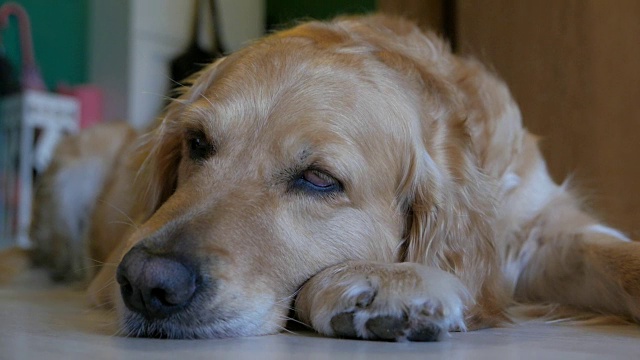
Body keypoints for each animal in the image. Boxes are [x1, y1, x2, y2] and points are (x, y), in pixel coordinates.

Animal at [15, 15, 640, 342]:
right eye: (197, 143)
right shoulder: (111, 269)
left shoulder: (540, 229)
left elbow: (621, 259)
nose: (147, 282)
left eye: (318, 179)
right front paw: (377, 285)